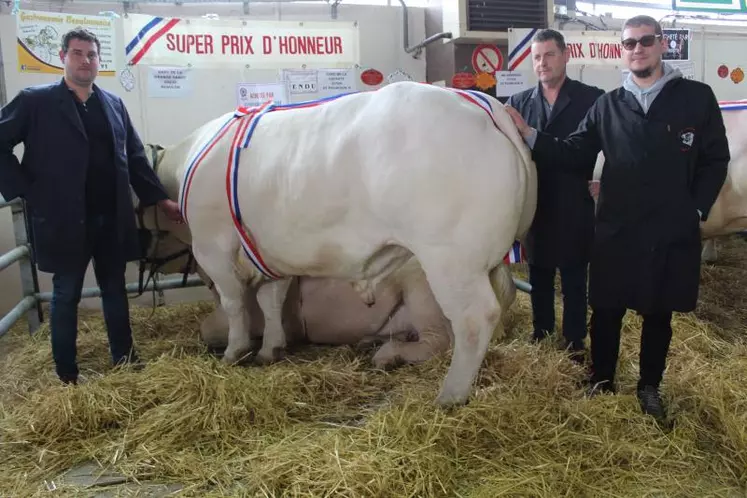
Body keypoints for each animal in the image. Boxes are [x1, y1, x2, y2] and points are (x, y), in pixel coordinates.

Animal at [142, 81, 536, 406]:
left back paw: (448, 394)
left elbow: (234, 303)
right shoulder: (270, 253)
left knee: (472, 320)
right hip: (479, 262)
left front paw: (234, 352)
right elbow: (271, 302)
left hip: (449, 259)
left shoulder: (213, 245)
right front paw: (270, 349)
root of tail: (478, 101)